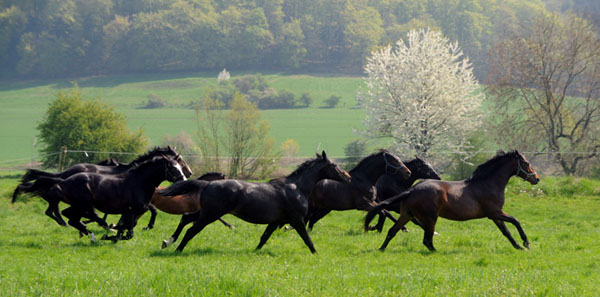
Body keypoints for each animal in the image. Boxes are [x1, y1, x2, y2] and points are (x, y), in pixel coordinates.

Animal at [11, 146, 192, 224]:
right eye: (179, 160)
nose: (188, 174)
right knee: (54, 206)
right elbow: (150, 211)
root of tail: (66, 173)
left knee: (52, 206)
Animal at [19, 154, 186, 242]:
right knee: (73, 217)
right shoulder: (129, 210)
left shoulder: (132, 211)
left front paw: (113, 235)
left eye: (180, 166)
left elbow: (127, 227)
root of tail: (63, 180)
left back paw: (90, 233)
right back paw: (95, 231)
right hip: (84, 205)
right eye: (173, 168)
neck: (138, 182)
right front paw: (110, 235)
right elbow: (128, 231)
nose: (184, 179)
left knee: (70, 217)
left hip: (80, 205)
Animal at [157, 150, 352, 252]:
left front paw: (256, 251)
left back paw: (168, 241)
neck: (297, 187)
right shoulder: (297, 220)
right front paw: (316, 254)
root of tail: (207, 184)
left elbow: (264, 238)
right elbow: (307, 239)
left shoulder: (276, 221)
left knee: (186, 217)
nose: (348, 177)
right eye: (334, 165)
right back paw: (177, 249)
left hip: (206, 212)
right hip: (210, 215)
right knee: (191, 230)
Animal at [364, 149, 540, 251]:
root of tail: (412, 189)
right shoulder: (495, 212)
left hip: (406, 215)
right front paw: (526, 243)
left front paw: (518, 246)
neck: (489, 183)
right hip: (430, 218)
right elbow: (516, 221)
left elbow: (506, 231)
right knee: (427, 240)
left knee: (392, 231)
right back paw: (436, 251)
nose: (536, 178)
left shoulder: (494, 215)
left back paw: (381, 249)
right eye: (526, 163)